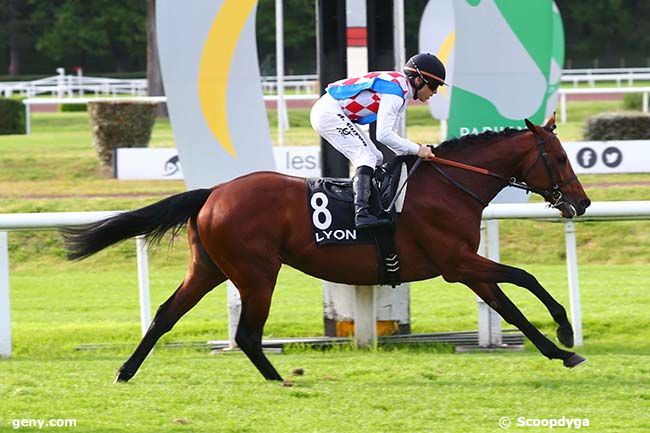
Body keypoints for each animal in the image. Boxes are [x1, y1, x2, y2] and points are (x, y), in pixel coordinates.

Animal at [64, 115, 588, 382]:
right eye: (561, 157)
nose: (581, 202)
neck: (449, 186)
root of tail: (214, 192)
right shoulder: (457, 262)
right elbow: (525, 279)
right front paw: (565, 331)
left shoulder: (466, 266)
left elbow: (510, 307)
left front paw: (560, 351)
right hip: (256, 273)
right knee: (247, 334)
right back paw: (278, 379)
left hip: (209, 268)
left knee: (165, 315)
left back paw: (125, 371)